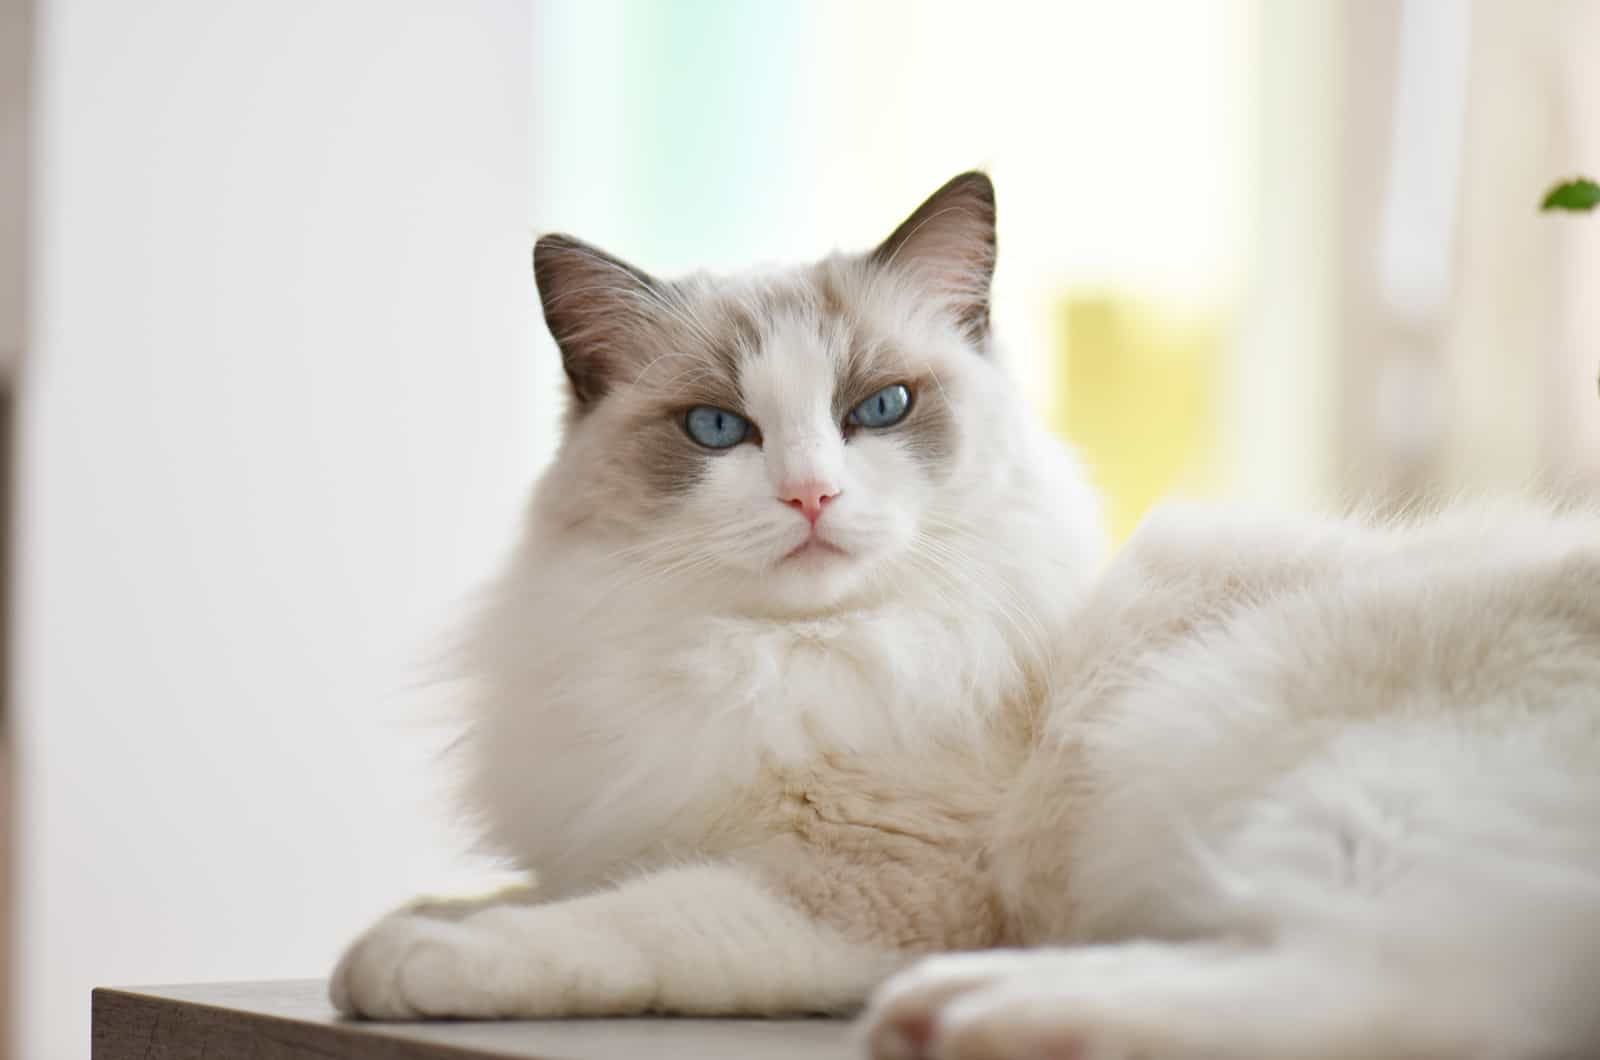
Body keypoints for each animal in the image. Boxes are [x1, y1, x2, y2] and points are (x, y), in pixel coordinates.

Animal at [331, 174, 1600, 1060]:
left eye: (879, 408)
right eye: (718, 430)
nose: (810, 495)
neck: (769, 659)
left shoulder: (873, 887)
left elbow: (621, 922)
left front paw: (414, 954)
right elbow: (553, 886)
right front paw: (415, 920)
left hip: (1289, 766)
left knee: (1410, 992)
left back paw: (971, 1012)